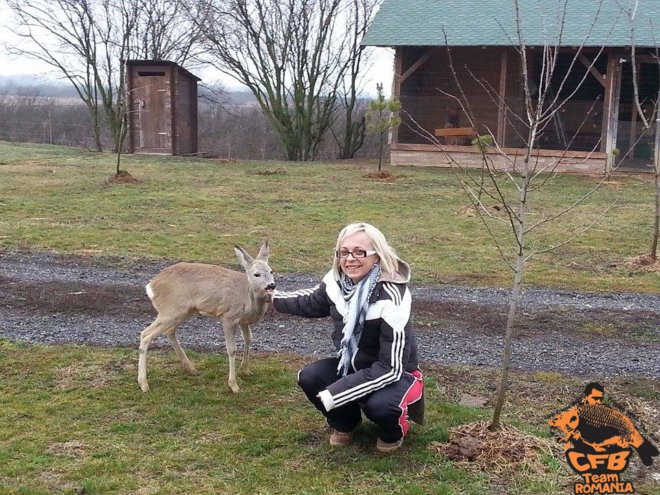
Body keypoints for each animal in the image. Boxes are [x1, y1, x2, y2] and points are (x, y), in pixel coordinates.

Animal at [138, 242, 274, 394]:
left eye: (271, 271)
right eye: (257, 274)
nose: (271, 285)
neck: (248, 296)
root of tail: (151, 286)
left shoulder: (243, 320)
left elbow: (249, 339)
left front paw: (245, 370)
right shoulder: (228, 316)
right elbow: (231, 349)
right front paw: (234, 385)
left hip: (183, 311)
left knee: (169, 331)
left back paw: (191, 368)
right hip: (170, 310)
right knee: (145, 334)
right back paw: (144, 384)